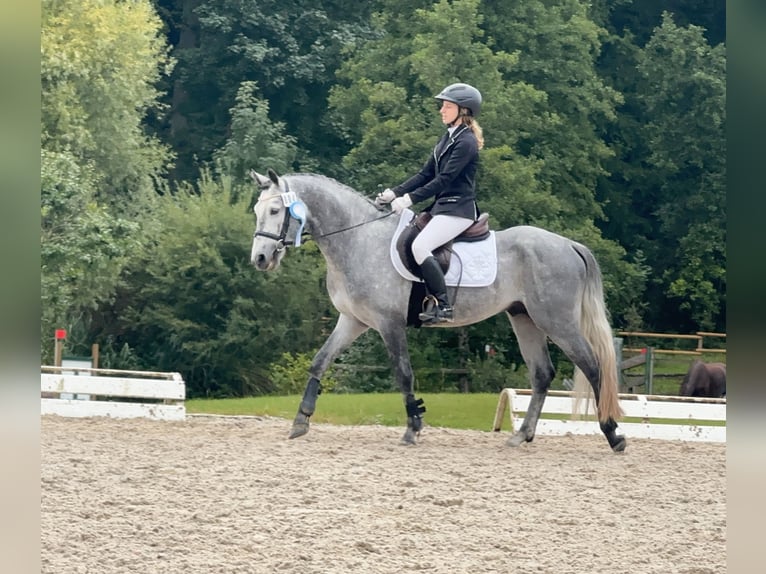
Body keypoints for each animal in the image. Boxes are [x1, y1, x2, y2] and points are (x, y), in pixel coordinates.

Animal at [249, 169, 626, 452]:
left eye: (275, 211)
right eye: (256, 210)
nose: (260, 259)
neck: (358, 240)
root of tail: (569, 244)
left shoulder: (389, 324)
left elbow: (403, 373)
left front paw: (413, 428)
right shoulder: (353, 320)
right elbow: (319, 362)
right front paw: (301, 421)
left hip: (557, 321)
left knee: (592, 366)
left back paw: (613, 433)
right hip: (524, 318)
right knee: (542, 374)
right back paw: (522, 435)